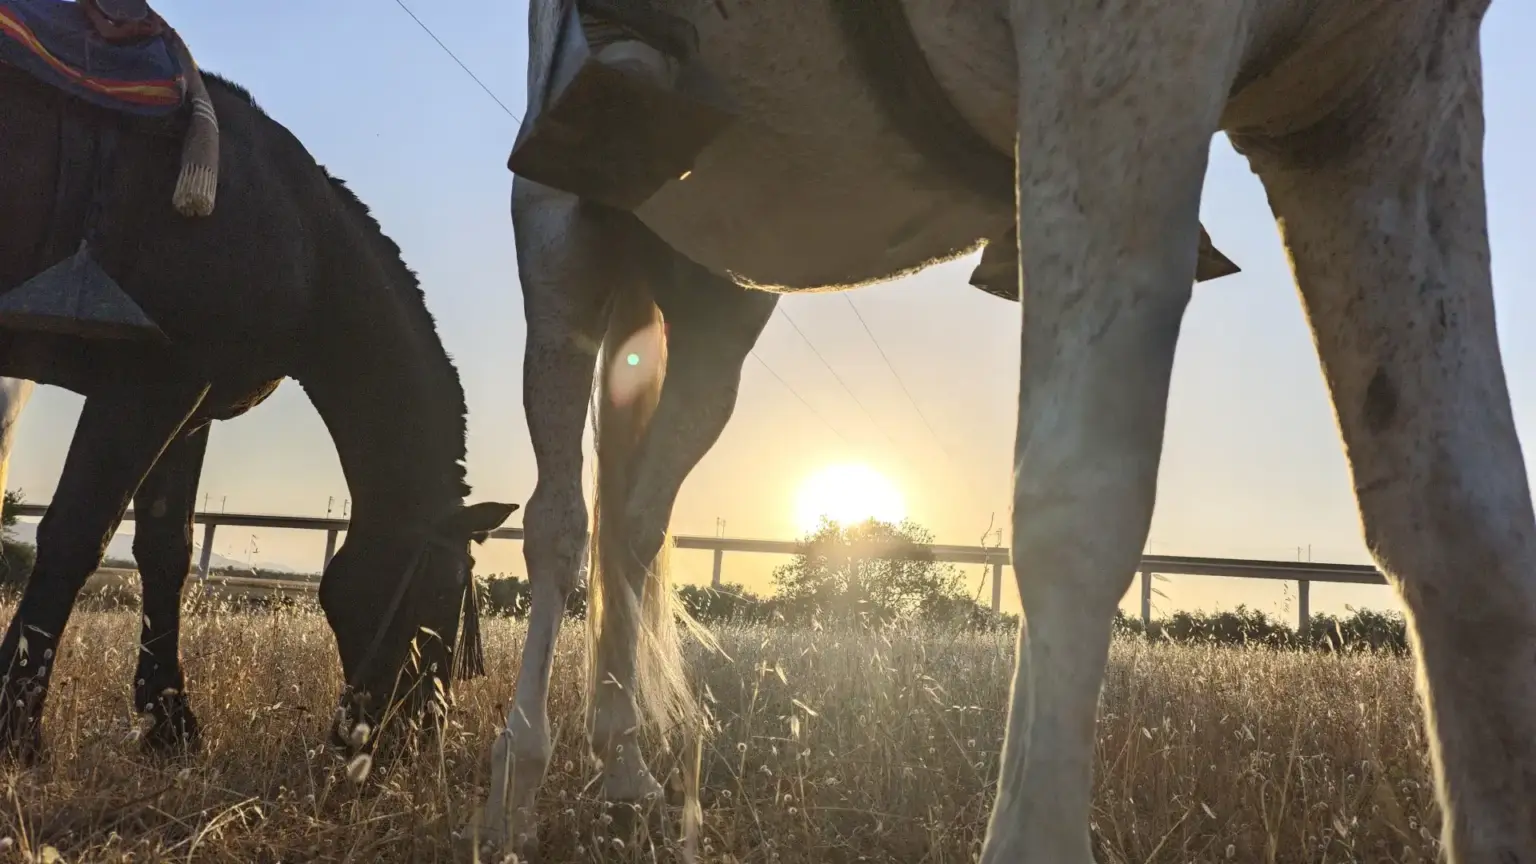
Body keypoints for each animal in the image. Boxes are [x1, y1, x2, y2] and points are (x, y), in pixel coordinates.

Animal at [0, 61, 518, 758]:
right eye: (444, 588)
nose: (423, 733)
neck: (301, 234)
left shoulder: (189, 401)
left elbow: (165, 551)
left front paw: (171, 723)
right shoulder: (146, 384)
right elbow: (77, 533)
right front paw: (18, 727)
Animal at [478, 0, 1535, 861]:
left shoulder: (1378, 98)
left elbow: (1465, 534)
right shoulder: (1120, 54)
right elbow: (1079, 505)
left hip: (713, 305)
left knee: (635, 517)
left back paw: (623, 772)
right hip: (561, 233)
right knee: (559, 522)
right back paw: (515, 789)